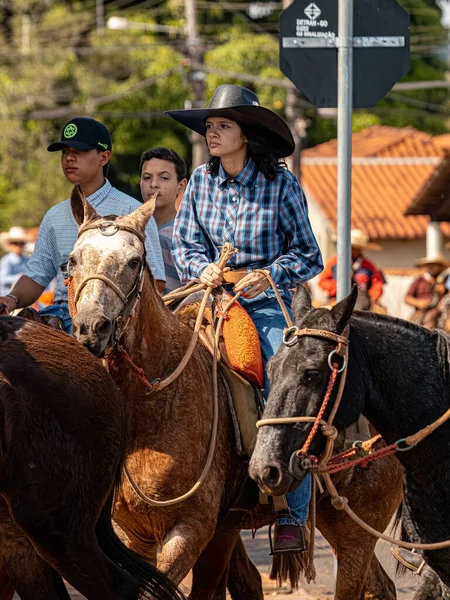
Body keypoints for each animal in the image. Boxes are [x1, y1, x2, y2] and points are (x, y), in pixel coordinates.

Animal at [67, 184, 404, 600]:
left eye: (133, 262)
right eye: (72, 261)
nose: (91, 327)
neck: (154, 404)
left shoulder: (192, 529)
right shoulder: (134, 534)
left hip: (355, 525)